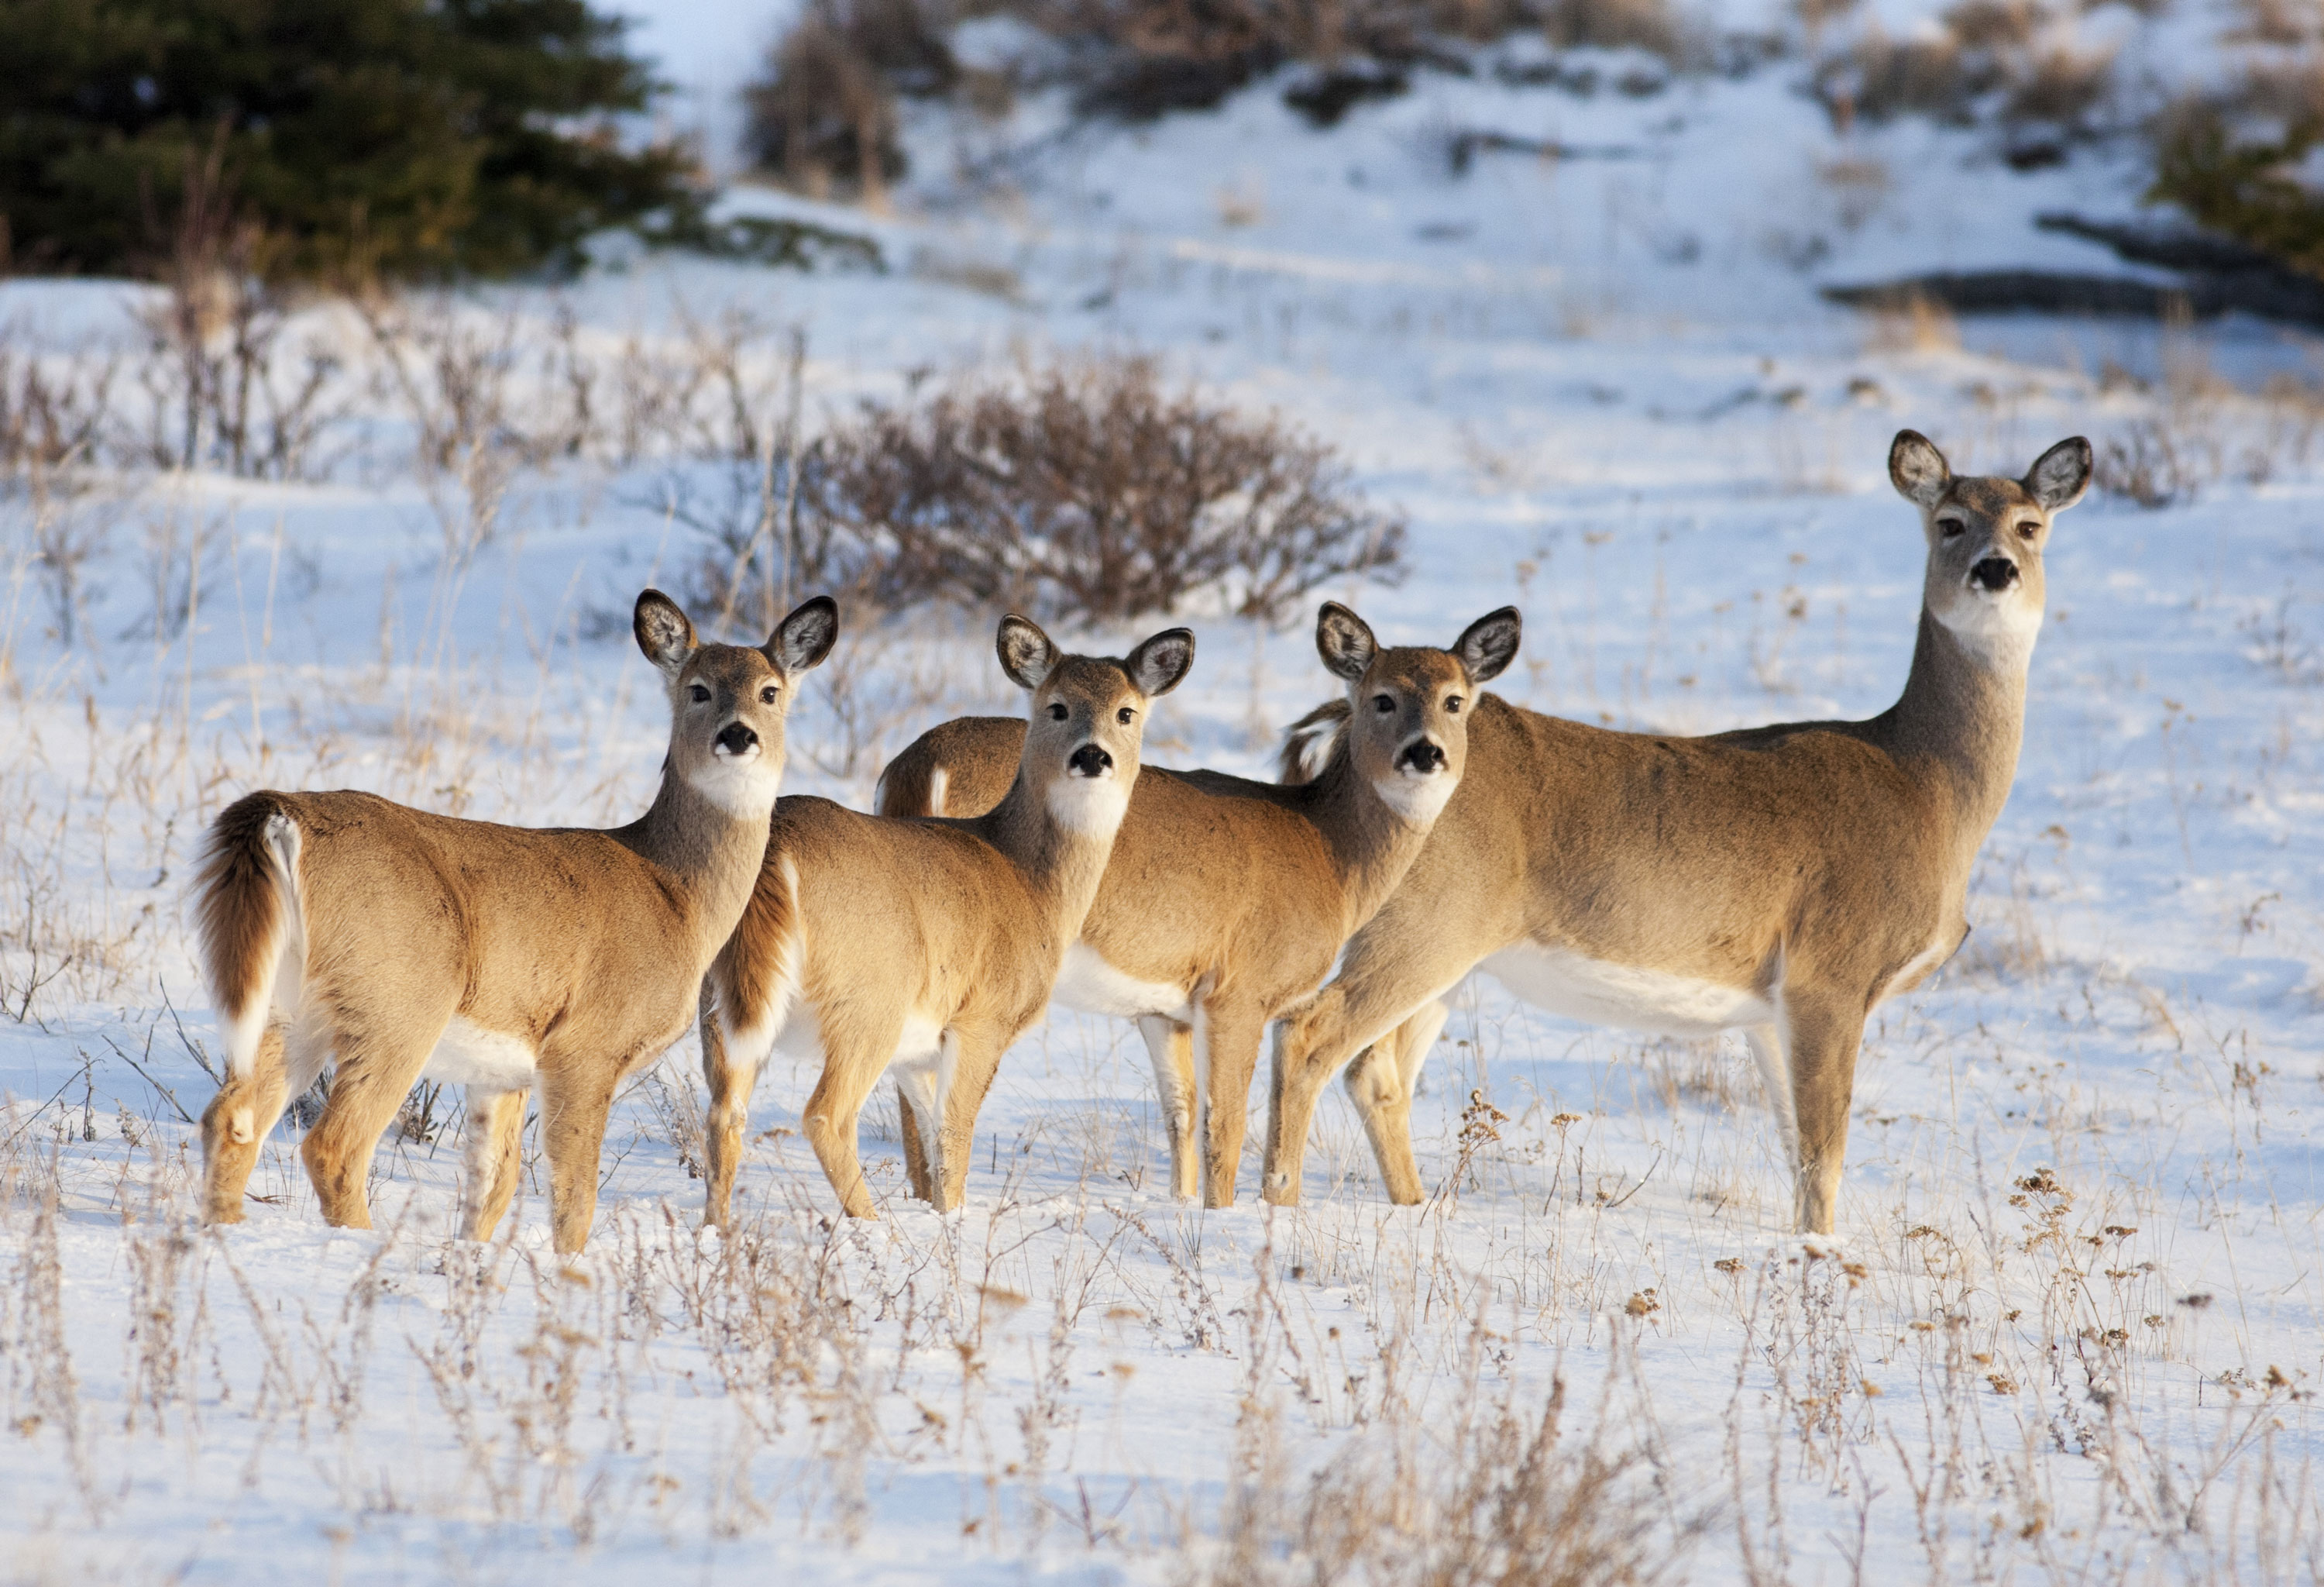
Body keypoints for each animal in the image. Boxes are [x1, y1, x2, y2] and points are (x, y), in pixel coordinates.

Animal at [195, 585, 841, 1255]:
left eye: (770, 691)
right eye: (698, 689)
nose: (738, 735)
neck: (677, 894)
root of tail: (282, 814)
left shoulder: (502, 1072)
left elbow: (493, 1187)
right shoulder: (586, 1044)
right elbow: (573, 1193)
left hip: (290, 1003)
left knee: (232, 1118)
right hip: (400, 999)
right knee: (335, 1145)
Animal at [697, 613, 1190, 1227]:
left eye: (1126, 711)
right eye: (1056, 707)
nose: (1093, 756)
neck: (1031, 882)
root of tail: (775, 848)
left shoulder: (918, 1048)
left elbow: (931, 1140)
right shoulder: (982, 1017)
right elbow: (955, 1138)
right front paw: (954, 1226)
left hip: (721, 1002)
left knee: (724, 1114)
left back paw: (718, 1231)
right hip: (869, 1002)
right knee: (826, 1117)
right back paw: (874, 1229)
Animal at [874, 604, 1525, 1208]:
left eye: (1456, 701)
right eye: (1383, 699)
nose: (1425, 753)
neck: (1329, 852)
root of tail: (922, 766)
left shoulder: (1166, 1007)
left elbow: (1182, 1113)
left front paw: (1183, 1205)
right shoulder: (1239, 990)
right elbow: (1227, 1125)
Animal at [1264, 434, 2101, 1245]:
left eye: (2031, 524)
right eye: (1950, 521)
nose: (1996, 568)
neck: (1929, 785)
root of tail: (1339, 730)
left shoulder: (1770, 1005)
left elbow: (1796, 1148)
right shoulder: (1831, 970)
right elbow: (1824, 1154)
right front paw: (1825, 1257)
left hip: (1455, 948)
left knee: (1377, 1073)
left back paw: (1414, 1208)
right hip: (1427, 922)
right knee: (1311, 1033)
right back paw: (1282, 1203)